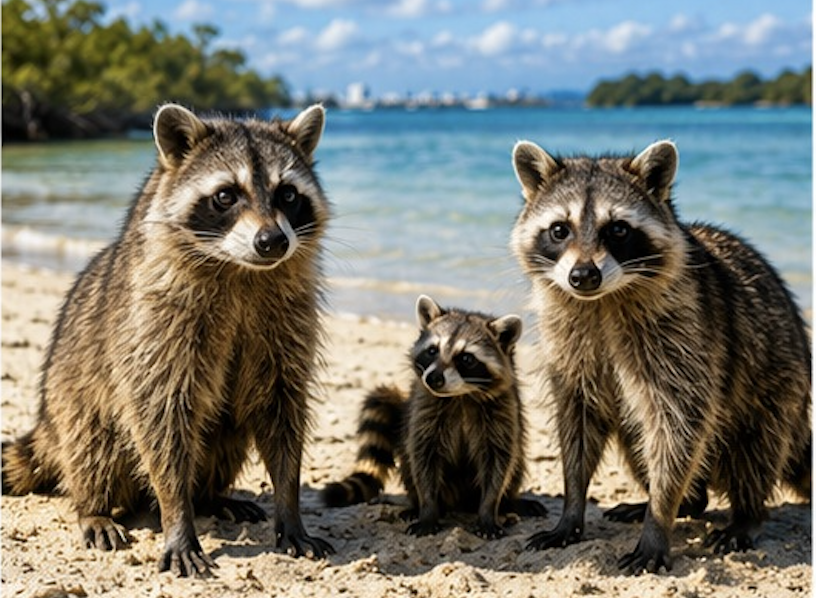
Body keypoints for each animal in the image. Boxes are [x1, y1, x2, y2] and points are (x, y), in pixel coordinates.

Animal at [2, 104, 335, 576]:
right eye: (225, 196)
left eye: (287, 195)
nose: (272, 241)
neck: (240, 270)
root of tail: (47, 422)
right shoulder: (153, 322)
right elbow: (161, 415)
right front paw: (177, 515)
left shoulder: (287, 323)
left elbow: (280, 408)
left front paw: (289, 508)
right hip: (74, 399)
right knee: (94, 445)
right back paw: (94, 505)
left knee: (226, 434)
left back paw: (210, 495)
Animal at [321, 295, 547, 538]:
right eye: (432, 351)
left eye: (466, 358)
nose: (433, 378)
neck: (461, 395)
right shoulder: (424, 407)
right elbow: (424, 459)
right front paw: (428, 510)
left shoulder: (502, 410)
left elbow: (498, 462)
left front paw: (488, 510)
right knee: (409, 464)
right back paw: (418, 506)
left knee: (516, 462)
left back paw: (508, 503)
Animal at [510, 139, 811, 573]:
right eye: (559, 230)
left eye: (618, 229)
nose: (583, 276)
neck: (602, 301)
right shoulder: (568, 345)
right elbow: (577, 422)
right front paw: (571, 509)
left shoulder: (686, 336)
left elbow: (679, 424)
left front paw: (658, 520)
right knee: (640, 442)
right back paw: (687, 500)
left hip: (778, 386)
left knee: (756, 449)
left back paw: (746, 514)